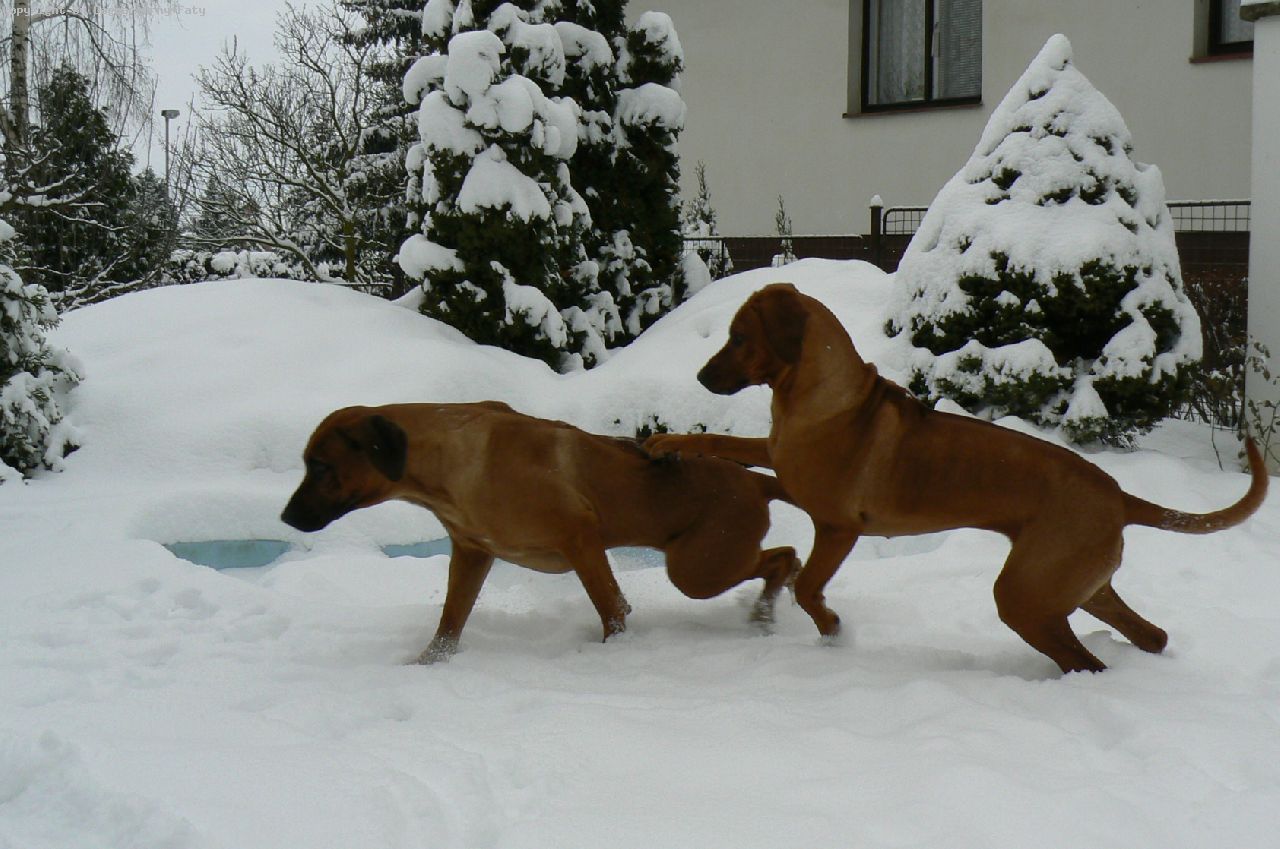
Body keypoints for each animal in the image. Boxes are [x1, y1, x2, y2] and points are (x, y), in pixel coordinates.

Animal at [281, 401, 800, 663]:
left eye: (321, 466)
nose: (286, 517)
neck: (453, 458)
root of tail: (756, 479)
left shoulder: (580, 537)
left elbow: (612, 608)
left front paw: (615, 653)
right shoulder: (472, 552)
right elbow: (450, 620)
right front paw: (429, 663)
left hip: (697, 566)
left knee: (783, 555)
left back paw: (769, 604)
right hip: (706, 562)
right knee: (785, 556)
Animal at [645, 283, 1268, 673]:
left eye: (739, 338)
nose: (701, 377)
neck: (818, 395)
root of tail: (1118, 495)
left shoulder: (837, 525)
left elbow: (806, 586)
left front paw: (833, 627)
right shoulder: (781, 461)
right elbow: (726, 442)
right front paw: (669, 441)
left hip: (1025, 592)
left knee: (1083, 660)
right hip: (1079, 584)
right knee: (1149, 635)